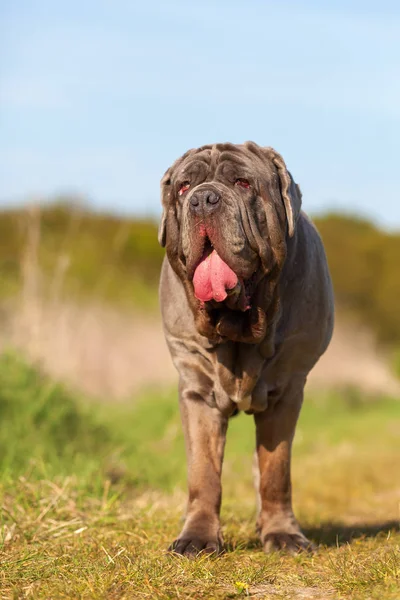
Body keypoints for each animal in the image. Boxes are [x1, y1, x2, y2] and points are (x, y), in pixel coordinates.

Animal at [158, 142, 332, 556]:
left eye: (243, 183)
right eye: (184, 187)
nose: (204, 199)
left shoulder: (287, 391)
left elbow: (275, 470)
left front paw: (283, 535)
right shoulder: (197, 391)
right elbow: (203, 472)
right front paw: (197, 537)